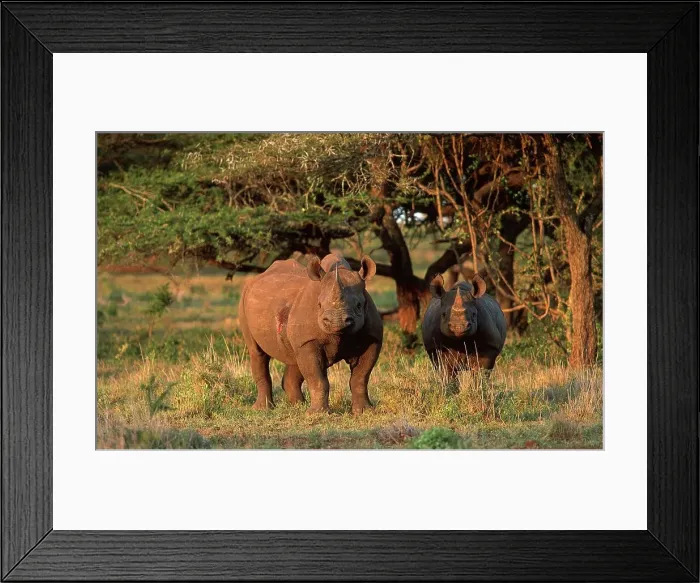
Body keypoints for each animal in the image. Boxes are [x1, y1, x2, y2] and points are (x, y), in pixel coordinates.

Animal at [238, 254, 383, 414]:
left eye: (359, 306)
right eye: (319, 305)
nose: (336, 321)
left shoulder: (371, 340)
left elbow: (360, 378)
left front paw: (364, 411)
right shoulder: (309, 341)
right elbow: (318, 379)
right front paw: (317, 414)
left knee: (294, 356)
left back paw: (298, 405)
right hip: (244, 301)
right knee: (257, 352)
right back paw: (263, 409)